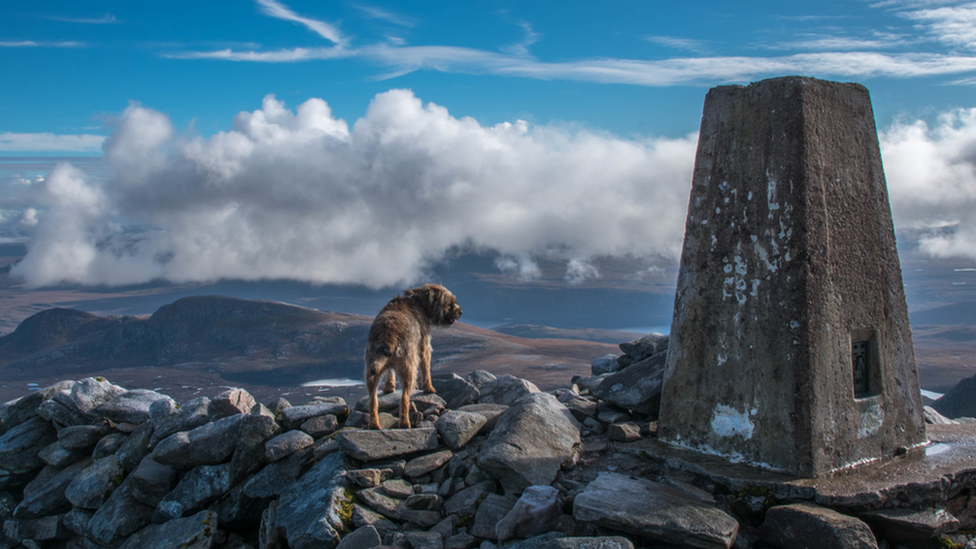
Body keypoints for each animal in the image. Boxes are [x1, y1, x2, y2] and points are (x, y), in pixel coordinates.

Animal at [364, 282, 464, 428]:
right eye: (449, 303)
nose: (461, 312)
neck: (419, 302)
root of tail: (387, 336)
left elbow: (389, 373)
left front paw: (389, 387)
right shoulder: (424, 346)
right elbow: (426, 368)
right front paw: (429, 388)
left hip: (371, 370)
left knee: (373, 400)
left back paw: (374, 424)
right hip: (409, 368)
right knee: (404, 398)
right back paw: (405, 422)